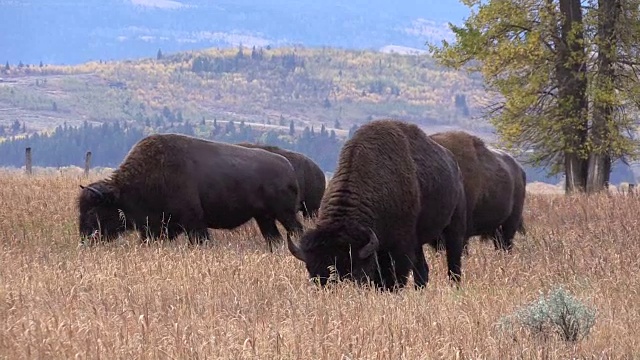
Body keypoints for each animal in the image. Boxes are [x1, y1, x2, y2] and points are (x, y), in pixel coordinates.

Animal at [75, 132, 304, 250]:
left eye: (94, 211)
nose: (85, 240)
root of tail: (288, 168)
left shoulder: (193, 222)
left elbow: (200, 239)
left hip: (284, 214)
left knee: (296, 229)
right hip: (264, 217)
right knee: (273, 236)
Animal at [286, 119, 464, 292]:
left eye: (353, 270)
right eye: (312, 272)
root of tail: (453, 163)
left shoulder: (400, 248)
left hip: (453, 228)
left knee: (453, 261)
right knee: (423, 269)